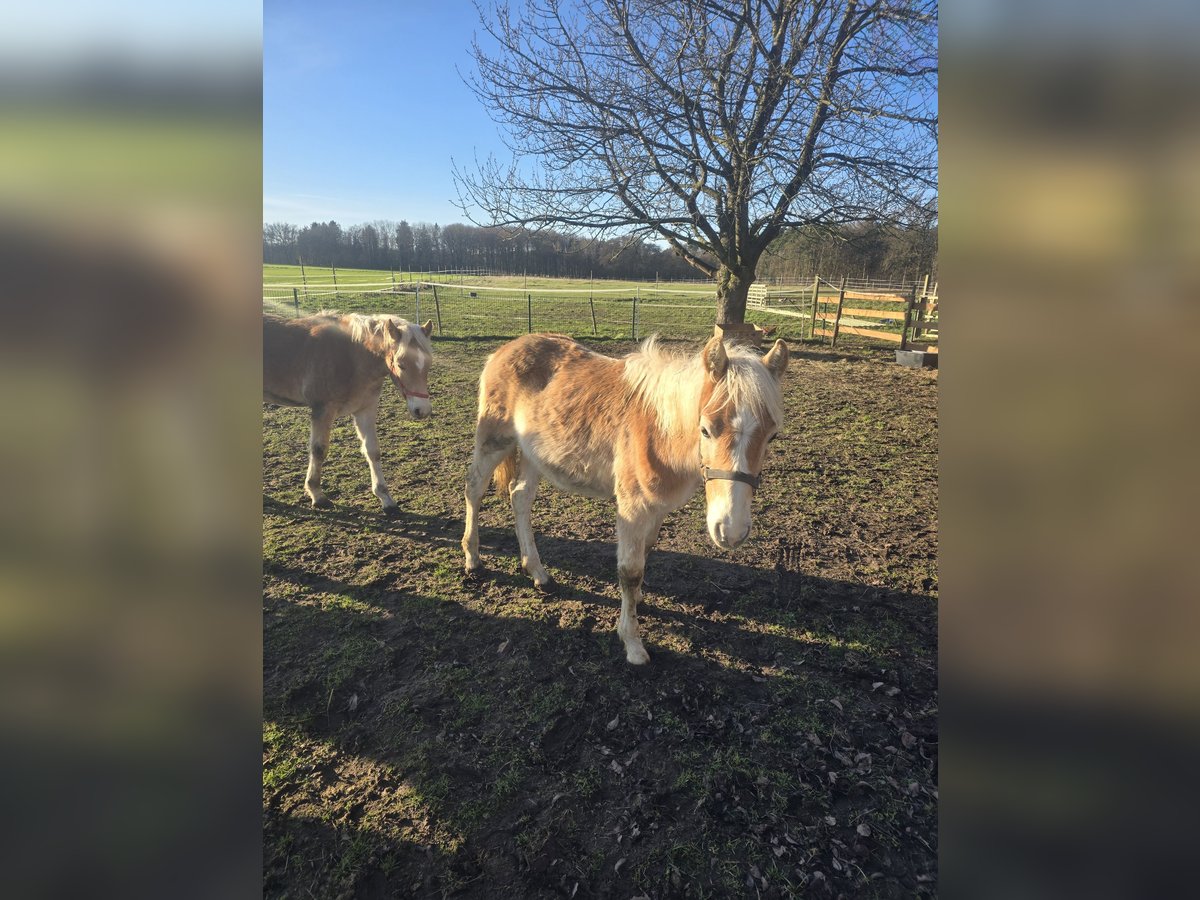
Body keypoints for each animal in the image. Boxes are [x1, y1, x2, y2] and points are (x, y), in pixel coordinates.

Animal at [265, 312, 434, 513]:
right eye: (401, 364)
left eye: (428, 364)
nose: (422, 410)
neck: (351, 356)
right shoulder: (323, 410)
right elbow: (319, 450)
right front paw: (317, 495)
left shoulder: (365, 410)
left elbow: (372, 450)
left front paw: (385, 497)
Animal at [458, 331, 787, 662]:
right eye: (706, 430)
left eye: (772, 436)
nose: (731, 531)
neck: (659, 432)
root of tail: (505, 349)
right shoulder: (632, 506)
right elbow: (630, 571)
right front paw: (632, 642)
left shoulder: (657, 508)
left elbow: (645, 552)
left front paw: (637, 599)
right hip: (494, 440)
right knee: (474, 489)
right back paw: (473, 558)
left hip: (532, 455)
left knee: (520, 498)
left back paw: (538, 572)